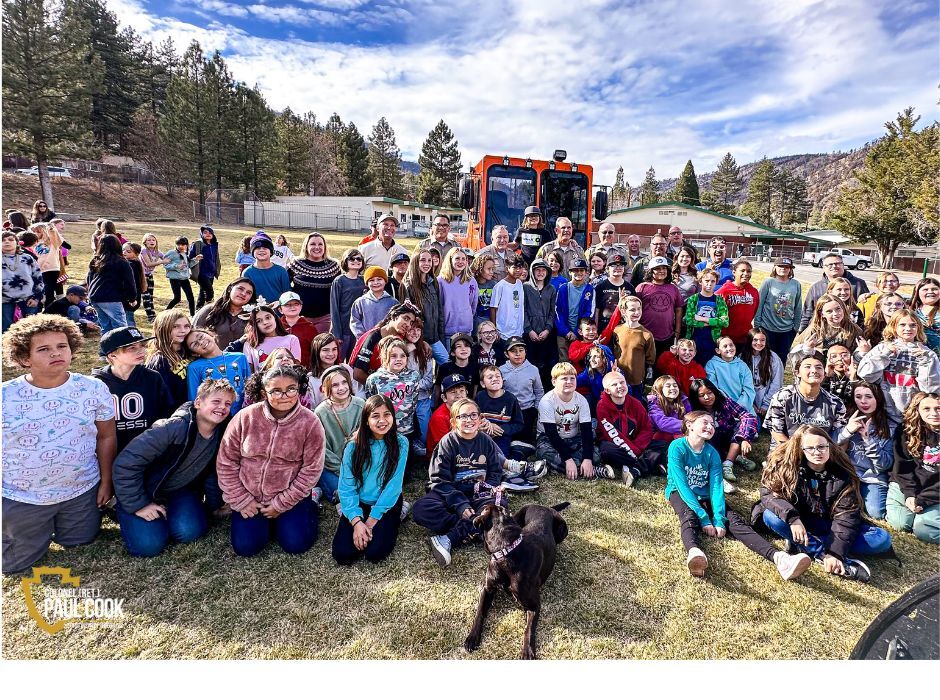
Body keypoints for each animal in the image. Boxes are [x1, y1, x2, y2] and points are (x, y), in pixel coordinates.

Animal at [464, 500, 568, 660]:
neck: (506, 551)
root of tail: (545, 507)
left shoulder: (533, 605)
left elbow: (529, 629)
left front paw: (527, 650)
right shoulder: (487, 589)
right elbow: (480, 612)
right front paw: (472, 637)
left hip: (563, 529)